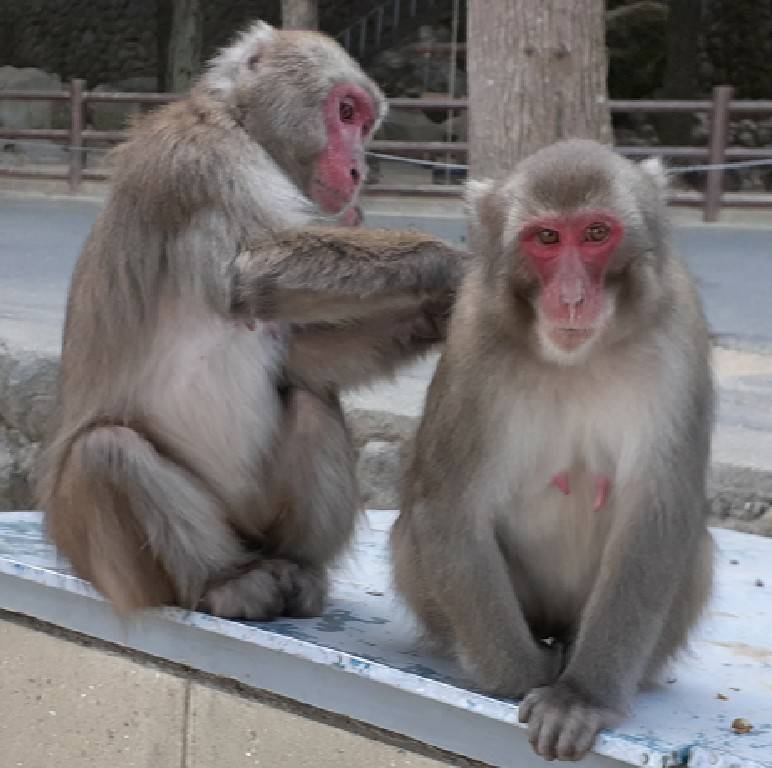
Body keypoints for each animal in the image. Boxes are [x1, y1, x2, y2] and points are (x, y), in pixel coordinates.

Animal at [36, 20, 466, 621]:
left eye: (364, 122)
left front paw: (437, 312)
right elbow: (245, 277)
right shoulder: (202, 159)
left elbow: (300, 358)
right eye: (346, 112)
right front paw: (452, 262)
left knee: (310, 401)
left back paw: (296, 566)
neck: (245, 129)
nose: (358, 168)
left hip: (253, 516)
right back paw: (225, 582)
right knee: (107, 452)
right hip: (114, 561)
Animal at [390, 139, 715, 762]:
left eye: (596, 233)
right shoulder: (474, 335)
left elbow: (658, 511)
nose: (571, 298)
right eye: (545, 238)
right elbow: (449, 510)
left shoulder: (679, 330)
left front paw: (581, 697)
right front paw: (525, 679)